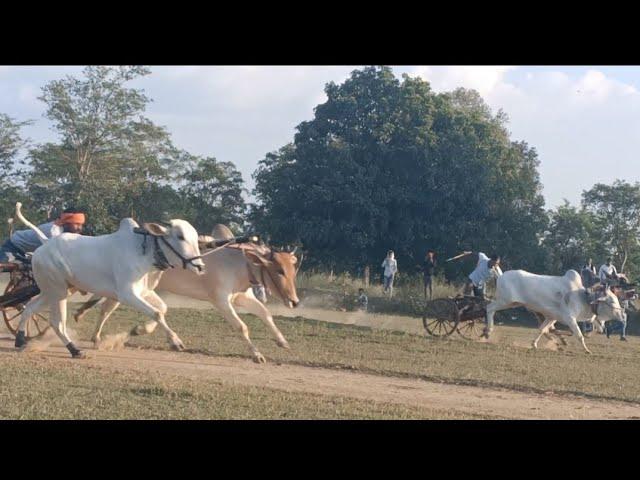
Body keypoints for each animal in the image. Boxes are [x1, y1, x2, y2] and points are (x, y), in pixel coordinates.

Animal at [13, 202, 204, 356]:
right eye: (180, 236)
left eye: (196, 238)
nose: (200, 266)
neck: (145, 252)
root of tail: (45, 243)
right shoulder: (127, 295)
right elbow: (157, 313)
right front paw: (176, 342)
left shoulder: (143, 292)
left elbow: (162, 309)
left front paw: (140, 330)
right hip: (57, 291)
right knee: (56, 322)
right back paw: (74, 350)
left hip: (53, 291)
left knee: (29, 308)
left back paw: (20, 340)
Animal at [484, 270, 624, 352]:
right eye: (611, 302)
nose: (622, 315)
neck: (583, 297)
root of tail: (501, 275)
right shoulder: (570, 319)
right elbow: (579, 335)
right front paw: (586, 350)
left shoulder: (552, 317)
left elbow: (542, 329)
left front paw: (534, 344)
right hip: (504, 301)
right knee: (489, 308)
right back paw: (488, 332)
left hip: (511, 303)